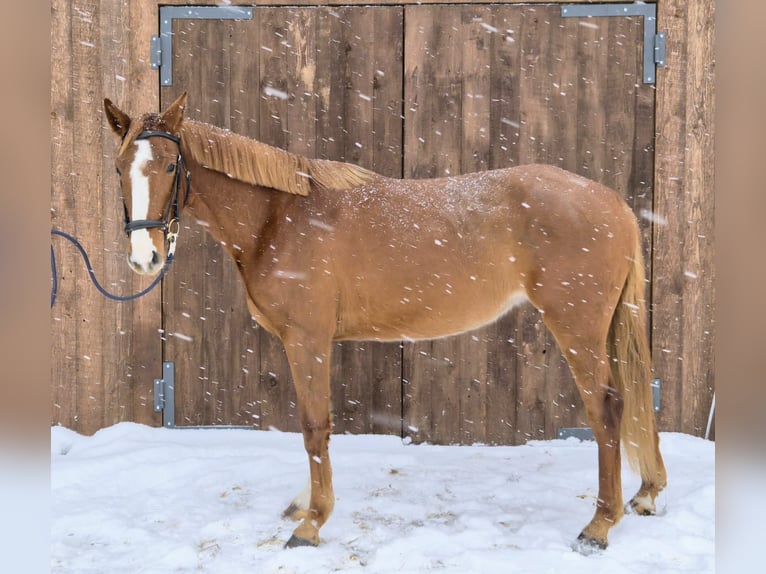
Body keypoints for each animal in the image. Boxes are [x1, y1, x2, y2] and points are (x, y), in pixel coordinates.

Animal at [103, 92, 666, 552]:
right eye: (119, 167)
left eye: (171, 166)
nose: (145, 257)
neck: (278, 218)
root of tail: (612, 202)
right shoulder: (305, 343)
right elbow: (315, 423)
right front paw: (303, 504)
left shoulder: (307, 340)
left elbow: (314, 425)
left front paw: (312, 523)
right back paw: (645, 493)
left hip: (578, 329)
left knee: (607, 408)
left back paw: (599, 526)